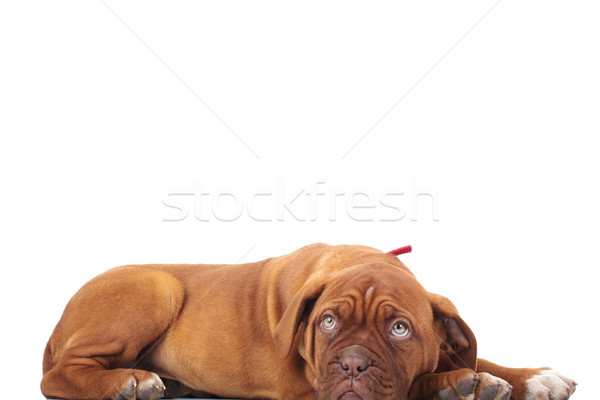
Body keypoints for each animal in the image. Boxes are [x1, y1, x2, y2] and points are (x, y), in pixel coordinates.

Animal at [39, 244, 576, 400]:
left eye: (400, 329)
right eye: (328, 322)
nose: (353, 366)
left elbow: (475, 355)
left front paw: (533, 377)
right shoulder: (308, 392)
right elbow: (419, 381)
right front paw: (461, 384)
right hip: (156, 288)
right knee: (59, 375)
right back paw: (128, 380)